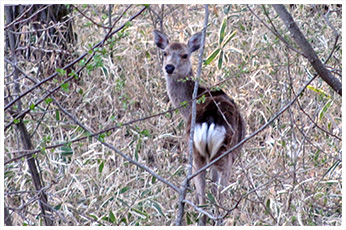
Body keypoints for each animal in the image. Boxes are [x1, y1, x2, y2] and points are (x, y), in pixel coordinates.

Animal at [154, 29, 246, 226]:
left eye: (184, 55)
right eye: (165, 52)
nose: (169, 67)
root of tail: (210, 120)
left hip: (196, 154)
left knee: (202, 202)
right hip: (224, 154)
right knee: (218, 201)